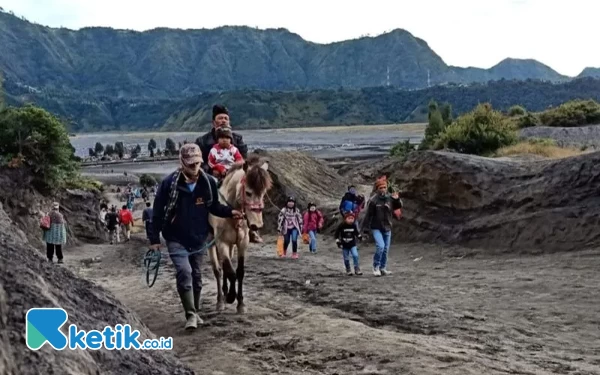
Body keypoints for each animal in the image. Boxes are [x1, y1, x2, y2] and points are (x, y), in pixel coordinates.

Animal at [206, 155, 272, 314]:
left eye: (263, 193)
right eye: (248, 192)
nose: (256, 225)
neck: (230, 213)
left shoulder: (242, 243)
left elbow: (239, 272)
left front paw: (240, 303)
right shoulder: (221, 243)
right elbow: (230, 272)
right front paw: (231, 297)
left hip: (231, 245)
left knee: (225, 266)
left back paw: (225, 292)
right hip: (212, 242)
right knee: (218, 270)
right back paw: (220, 300)